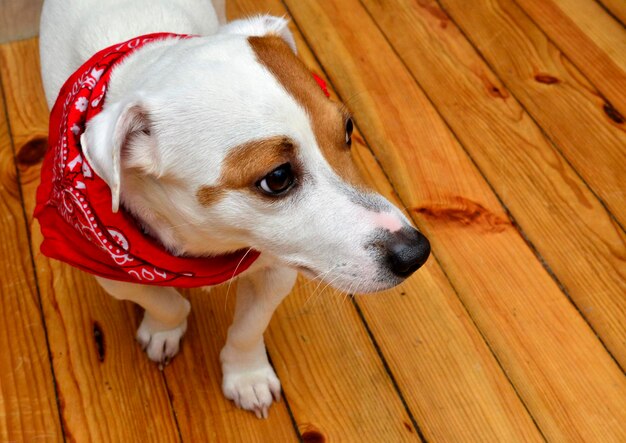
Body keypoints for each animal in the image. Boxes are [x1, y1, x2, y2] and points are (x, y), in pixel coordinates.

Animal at [39, 0, 428, 420]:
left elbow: (248, 328)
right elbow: (167, 304)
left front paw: (247, 377)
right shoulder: (111, 271)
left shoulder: (275, 268)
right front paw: (162, 330)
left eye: (347, 128)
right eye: (277, 178)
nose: (417, 253)